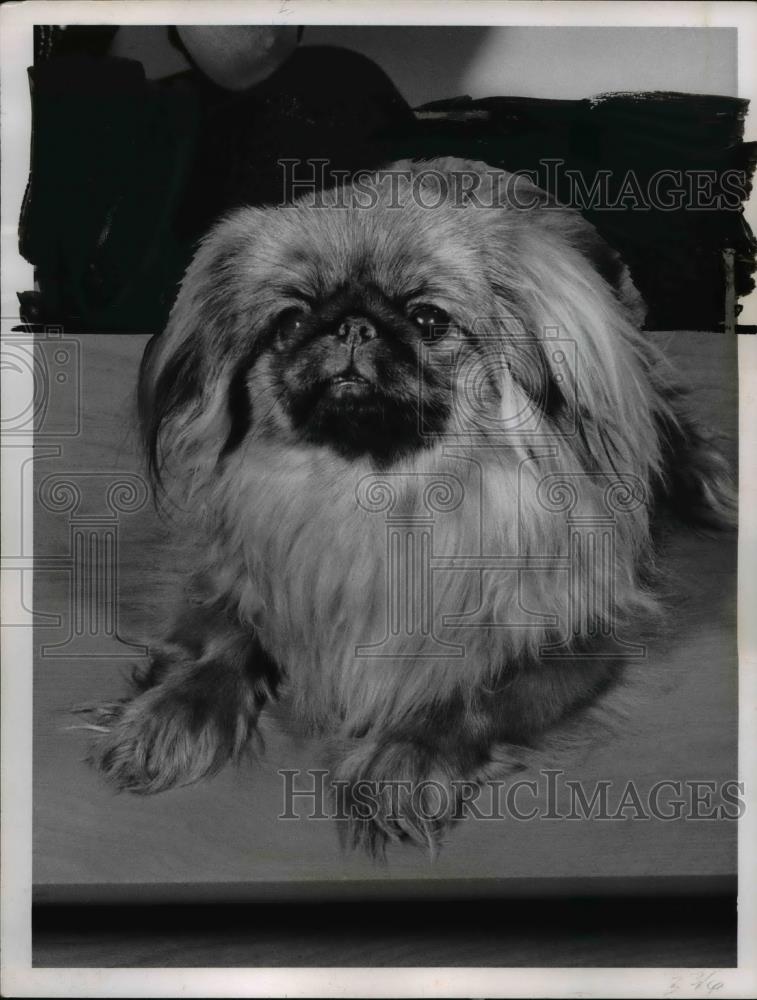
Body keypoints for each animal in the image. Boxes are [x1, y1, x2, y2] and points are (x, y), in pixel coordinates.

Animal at [85, 156, 736, 852]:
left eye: (428, 320)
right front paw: (170, 717)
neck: (377, 495)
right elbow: (222, 642)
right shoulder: (231, 574)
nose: (352, 324)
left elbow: (476, 694)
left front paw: (405, 760)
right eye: (289, 321)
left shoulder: (581, 634)